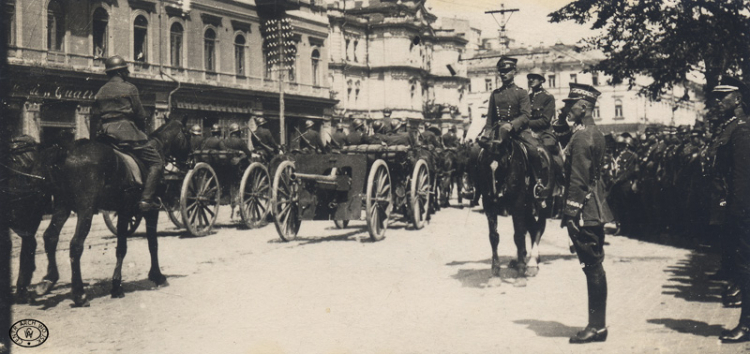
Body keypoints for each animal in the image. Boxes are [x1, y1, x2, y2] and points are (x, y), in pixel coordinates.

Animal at [24, 117, 191, 306]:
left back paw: (48, 281)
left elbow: (123, 247)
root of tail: (66, 151)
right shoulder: (148, 211)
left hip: (62, 206)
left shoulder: (124, 211)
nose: (190, 162)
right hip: (86, 209)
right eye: (188, 134)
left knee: (50, 237)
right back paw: (79, 293)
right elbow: (149, 244)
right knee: (75, 244)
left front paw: (118, 285)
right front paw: (155, 276)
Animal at [478, 134, 556, 278]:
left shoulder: (517, 203)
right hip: (528, 207)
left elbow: (519, 235)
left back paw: (532, 262)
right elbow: (494, 236)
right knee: (532, 227)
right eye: (484, 164)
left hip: (543, 203)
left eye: (503, 165)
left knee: (539, 227)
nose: (494, 194)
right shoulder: (489, 205)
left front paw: (521, 271)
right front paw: (495, 270)